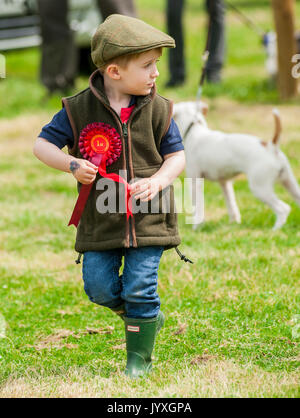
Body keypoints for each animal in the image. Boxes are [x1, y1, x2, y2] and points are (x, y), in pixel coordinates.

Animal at [172, 102, 300, 230]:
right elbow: (231, 204)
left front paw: (197, 227)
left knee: (283, 209)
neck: (194, 131)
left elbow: (197, 206)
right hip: (289, 183)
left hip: (260, 188)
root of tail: (271, 147)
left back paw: (275, 229)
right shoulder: (225, 183)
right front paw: (234, 222)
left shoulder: (195, 181)